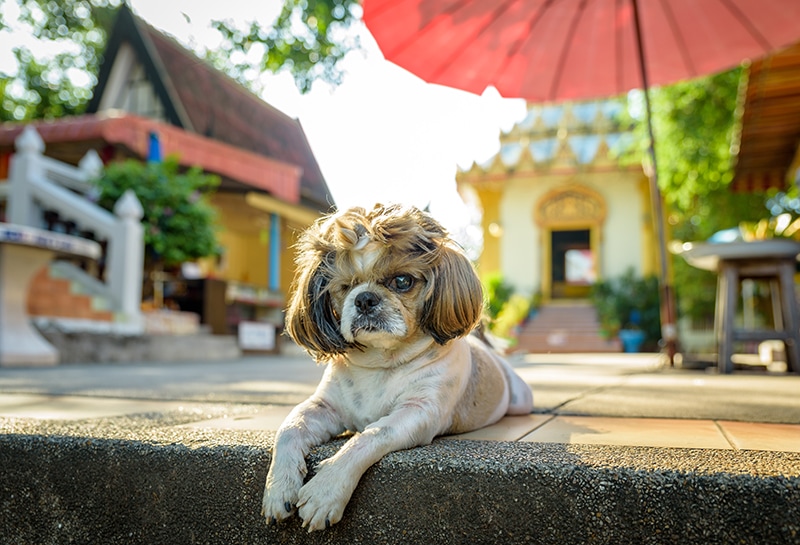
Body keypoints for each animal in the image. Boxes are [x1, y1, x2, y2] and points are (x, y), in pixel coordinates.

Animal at [262, 204, 536, 532]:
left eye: (402, 281)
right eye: (345, 287)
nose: (365, 298)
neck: (382, 364)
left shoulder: (418, 412)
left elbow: (371, 434)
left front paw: (327, 488)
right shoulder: (324, 407)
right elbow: (290, 428)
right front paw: (278, 487)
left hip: (520, 401)